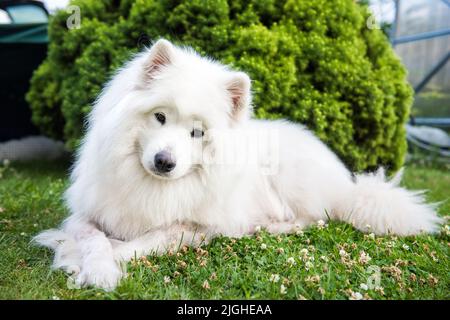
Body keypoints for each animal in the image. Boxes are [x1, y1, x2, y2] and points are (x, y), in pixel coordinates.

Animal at [34, 39, 440, 290]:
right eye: (160, 117)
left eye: (197, 132)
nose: (165, 162)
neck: (153, 186)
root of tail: (348, 183)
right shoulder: (86, 214)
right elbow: (94, 239)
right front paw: (91, 262)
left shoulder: (196, 227)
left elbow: (144, 241)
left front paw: (88, 264)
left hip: (290, 178)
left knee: (315, 217)